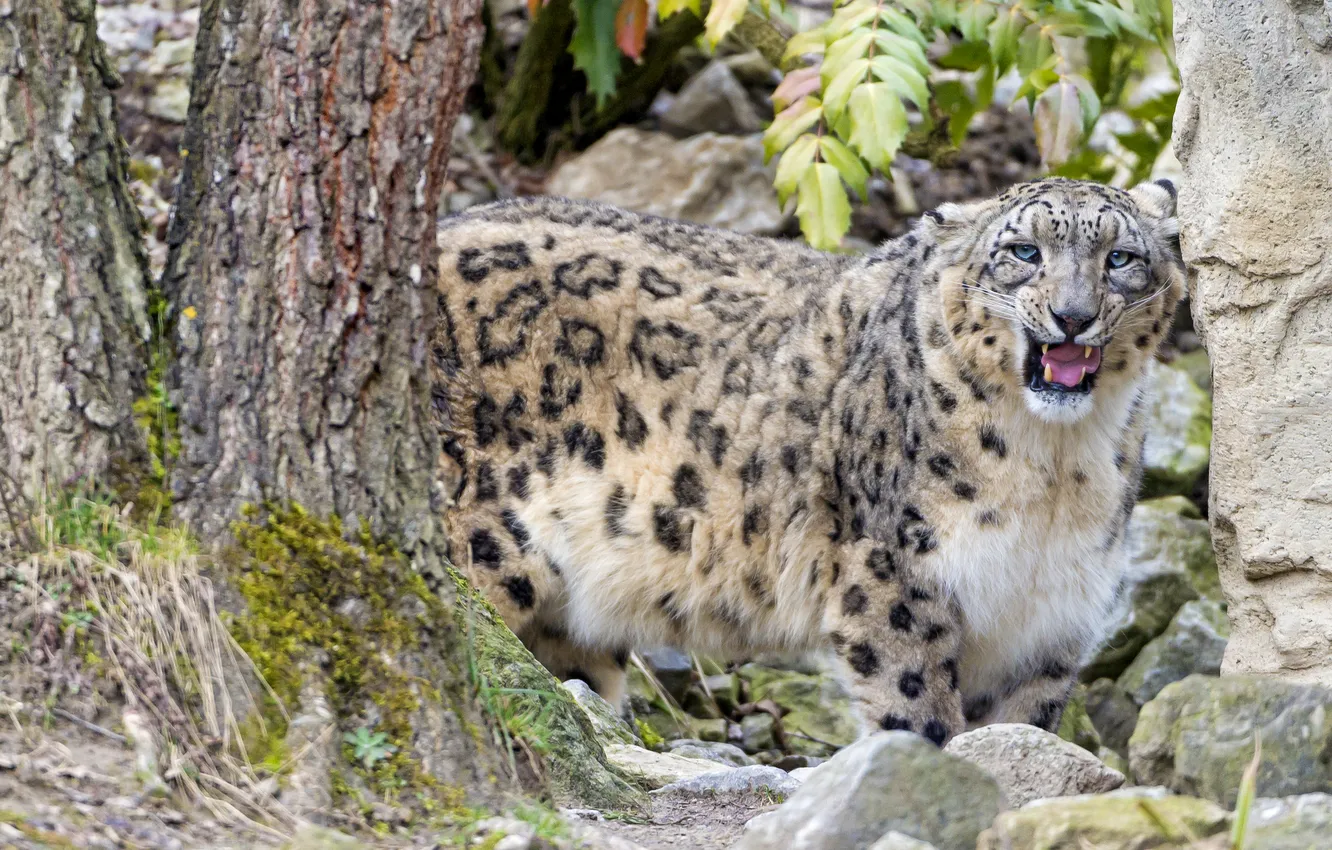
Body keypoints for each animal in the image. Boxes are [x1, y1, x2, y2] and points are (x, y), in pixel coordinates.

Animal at [430, 176, 1183, 746]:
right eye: (1024, 250)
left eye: (1120, 258)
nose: (1073, 316)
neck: (1054, 467)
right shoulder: (898, 579)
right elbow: (918, 706)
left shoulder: (1050, 622)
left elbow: (1023, 734)